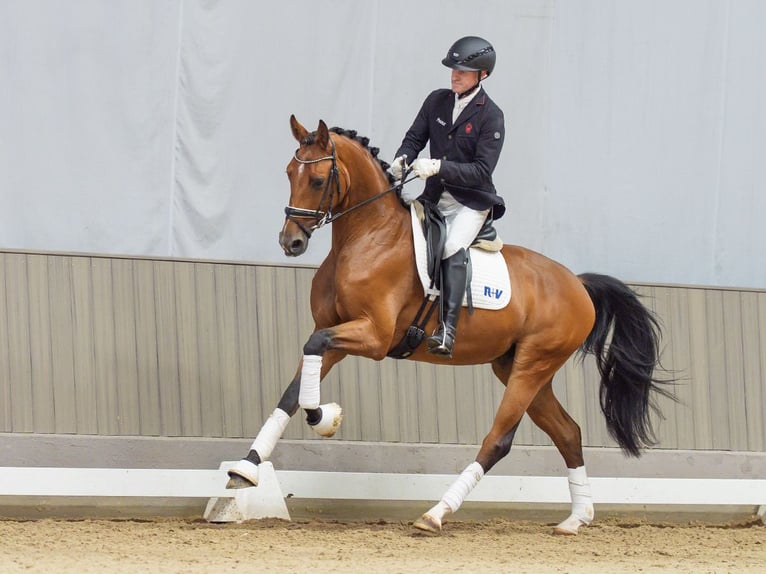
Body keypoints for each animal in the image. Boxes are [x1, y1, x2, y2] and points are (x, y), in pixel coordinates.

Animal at [225, 115, 673, 534]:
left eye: (318, 180)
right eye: (288, 173)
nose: (291, 242)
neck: (368, 236)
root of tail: (577, 284)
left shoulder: (373, 336)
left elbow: (313, 353)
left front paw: (324, 417)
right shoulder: (338, 331)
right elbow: (294, 387)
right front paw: (246, 469)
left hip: (533, 365)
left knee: (499, 440)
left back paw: (436, 514)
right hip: (517, 366)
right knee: (568, 432)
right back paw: (576, 519)